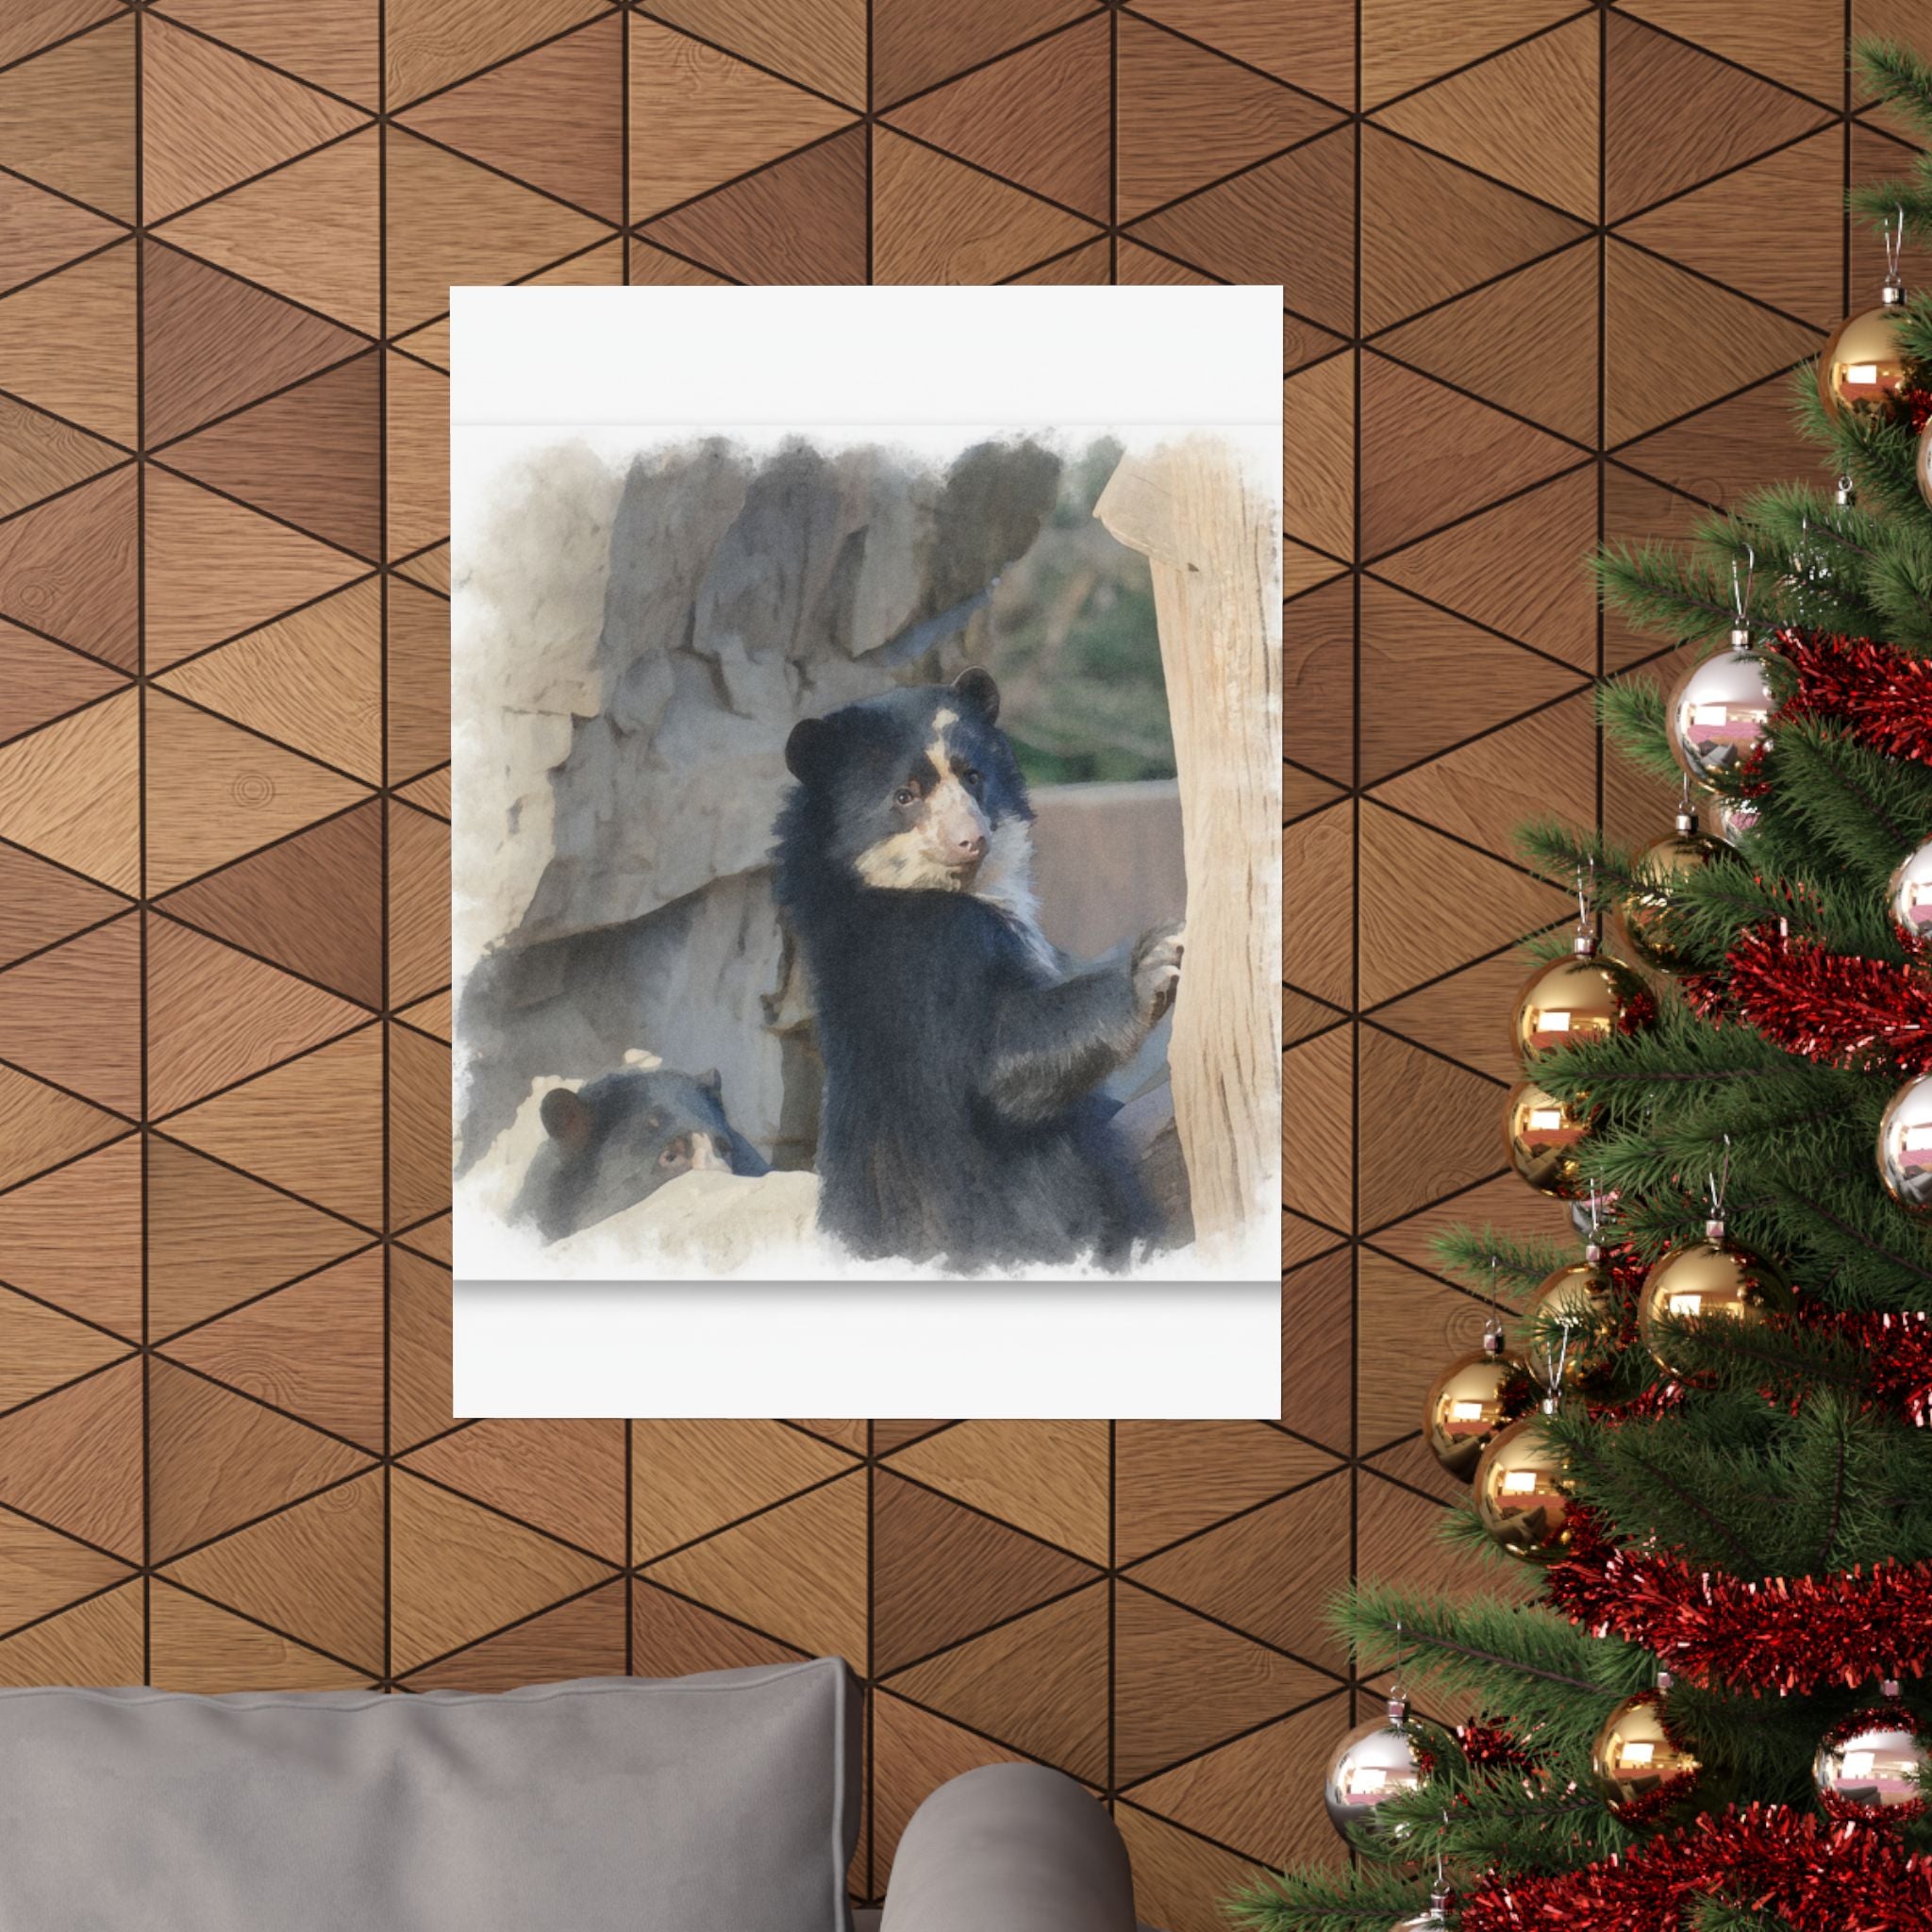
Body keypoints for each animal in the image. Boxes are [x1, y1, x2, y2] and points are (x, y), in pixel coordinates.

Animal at [773, 666, 1182, 1270]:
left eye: (973, 776)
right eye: (905, 795)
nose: (971, 840)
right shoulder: (935, 955)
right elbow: (1002, 1059)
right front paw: (1156, 960)